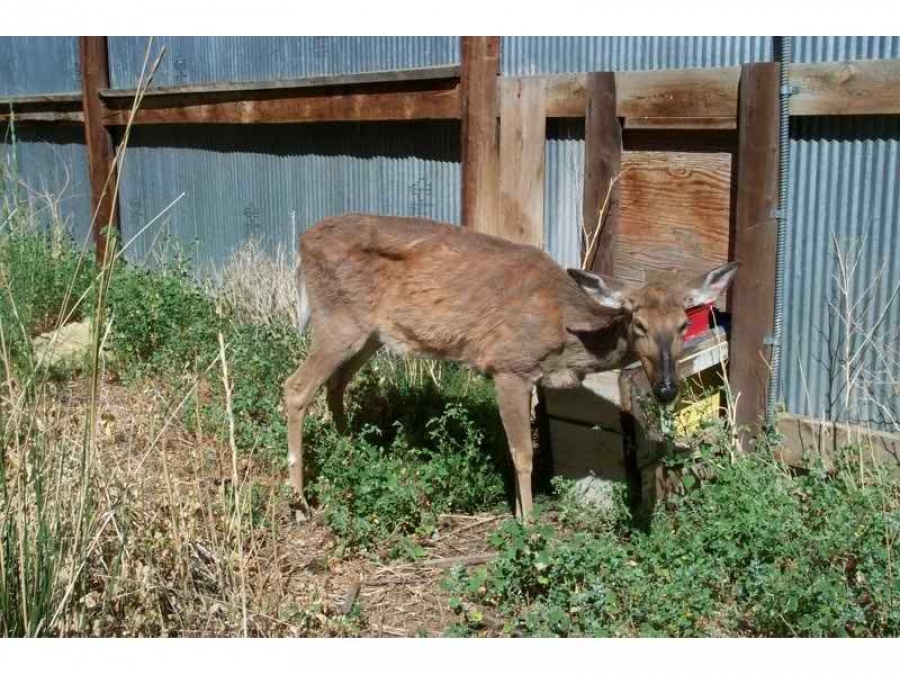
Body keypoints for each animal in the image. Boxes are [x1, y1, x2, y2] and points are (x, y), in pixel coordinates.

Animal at [284, 214, 740, 520]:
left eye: (683, 325)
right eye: (639, 323)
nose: (666, 388)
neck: (566, 333)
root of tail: (302, 243)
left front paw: (522, 512)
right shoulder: (508, 366)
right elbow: (523, 454)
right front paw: (529, 525)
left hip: (370, 334)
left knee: (335, 385)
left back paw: (351, 453)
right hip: (338, 321)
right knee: (295, 388)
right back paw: (301, 501)